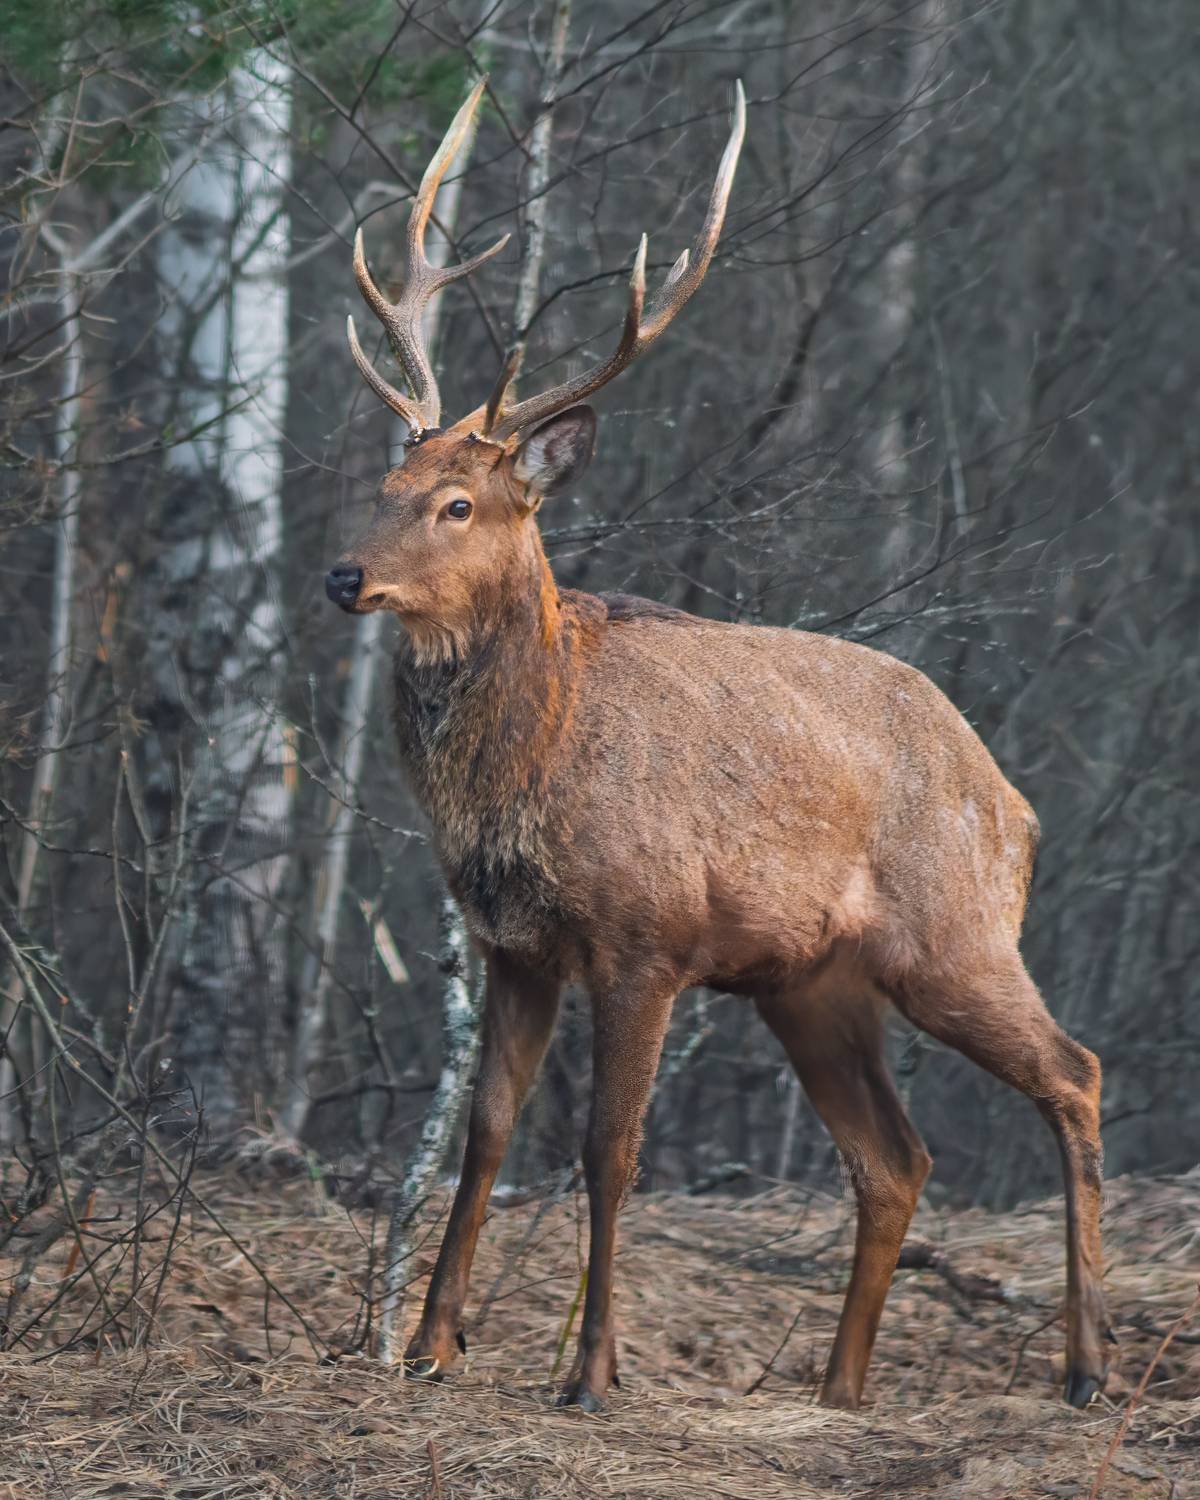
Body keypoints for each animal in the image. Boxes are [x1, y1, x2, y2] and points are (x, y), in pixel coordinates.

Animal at [325, 79, 1112, 1414]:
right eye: (384, 482)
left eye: (459, 504)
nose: (343, 575)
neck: (530, 773)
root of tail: (1017, 805)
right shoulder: (514, 945)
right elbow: (486, 1134)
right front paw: (430, 1344)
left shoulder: (647, 935)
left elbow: (609, 1148)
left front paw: (593, 1371)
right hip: (812, 983)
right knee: (897, 1157)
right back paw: (839, 1389)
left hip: (955, 936)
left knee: (1076, 1071)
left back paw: (1088, 1364)